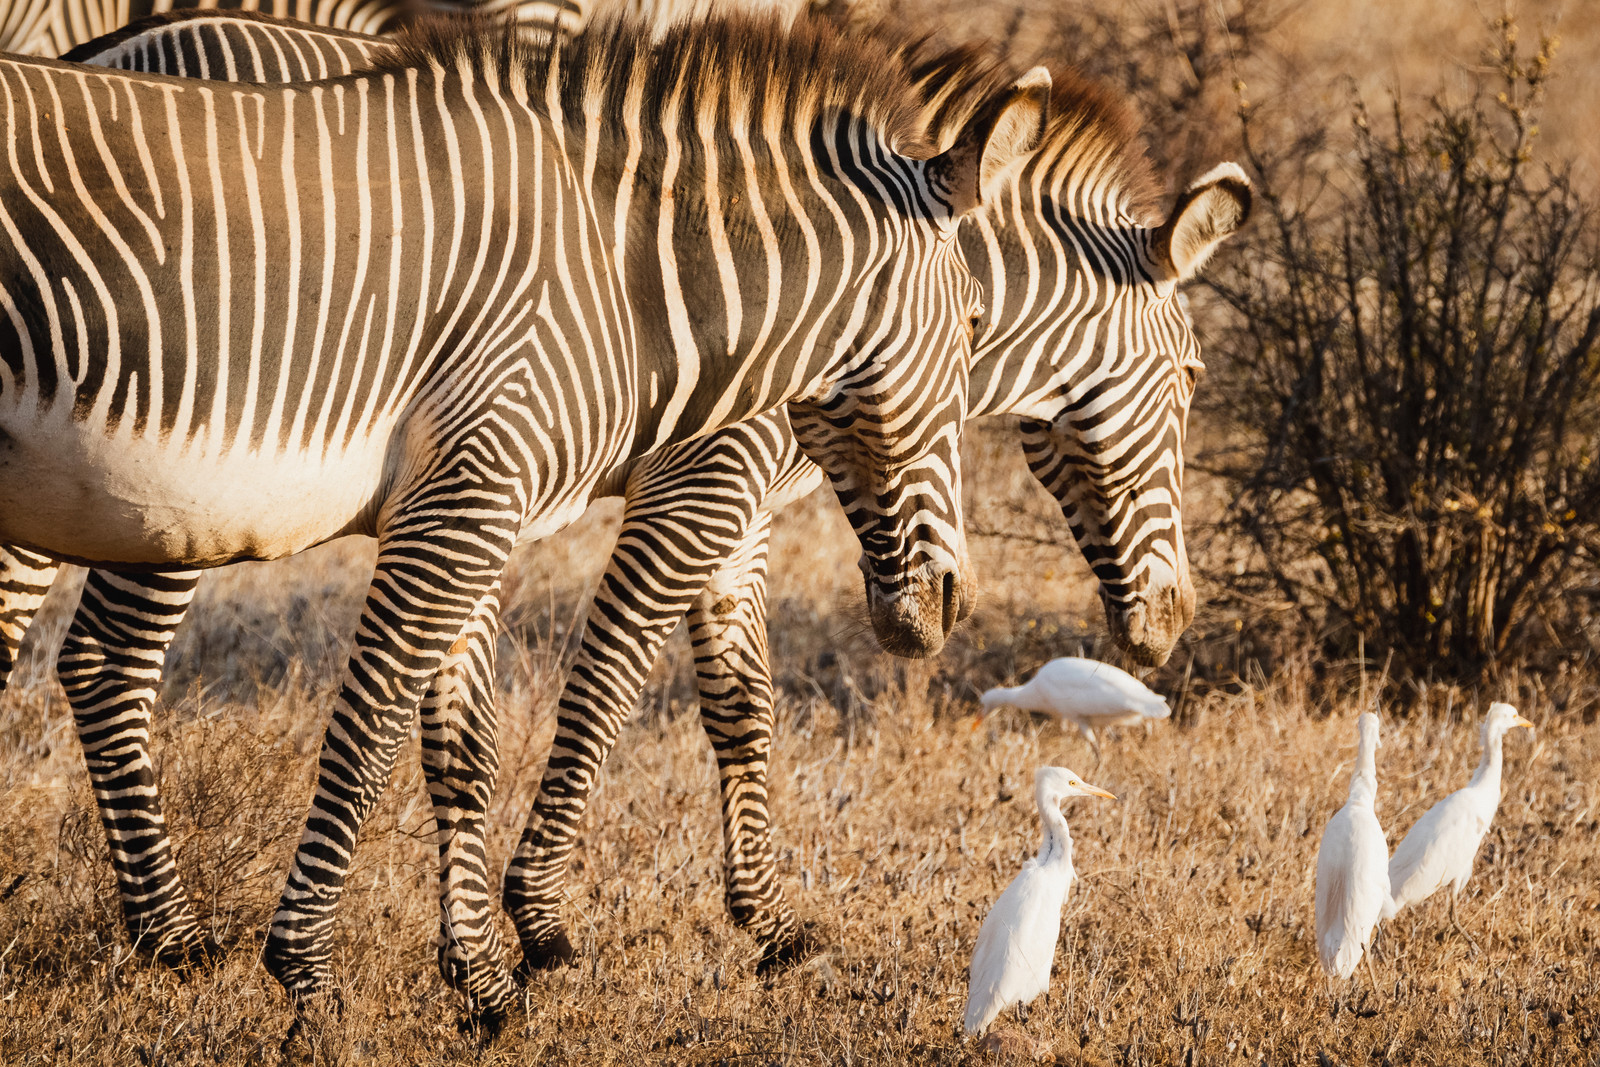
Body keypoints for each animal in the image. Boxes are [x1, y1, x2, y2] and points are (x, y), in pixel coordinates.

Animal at [10, 8, 1249, 981]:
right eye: (1197, 378)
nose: (1175, 624)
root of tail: (113, 42)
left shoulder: (741, 514)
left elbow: (741, 701)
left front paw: (768, 922)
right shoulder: (702, 482)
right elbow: (603, 683)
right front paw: (544, 920)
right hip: (162, 479)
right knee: (105, 658)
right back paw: (169, 935)